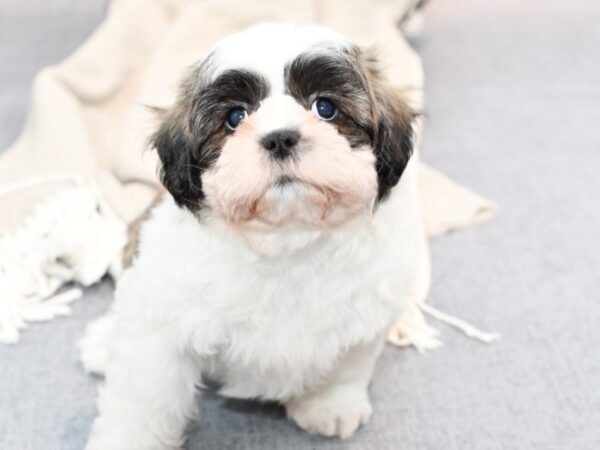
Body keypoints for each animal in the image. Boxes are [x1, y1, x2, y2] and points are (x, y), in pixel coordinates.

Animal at [84, 22, 428, 448]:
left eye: (325, 108)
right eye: (235, 117)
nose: (280, 137)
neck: (287, 241)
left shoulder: (365, 315)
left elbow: (347, 364)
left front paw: (328, 403)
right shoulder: (161, 322)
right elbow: (144, 395)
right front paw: (129, 437)